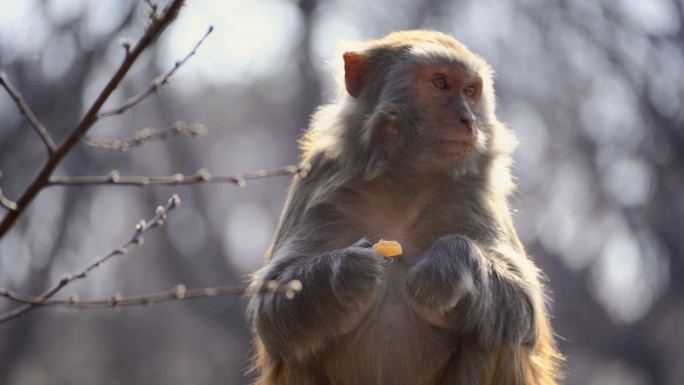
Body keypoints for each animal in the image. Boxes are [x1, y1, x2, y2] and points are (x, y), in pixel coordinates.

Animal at [246, 30, 560, 384]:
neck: (406, 183)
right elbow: (271, 308)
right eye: (440, 83)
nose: (467, 119)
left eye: (469, 91)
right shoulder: (320, 178)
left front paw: (449, 266)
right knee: (297, 351)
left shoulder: (475, 196)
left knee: (500, 336)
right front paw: (347, 271)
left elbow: (526, 307)